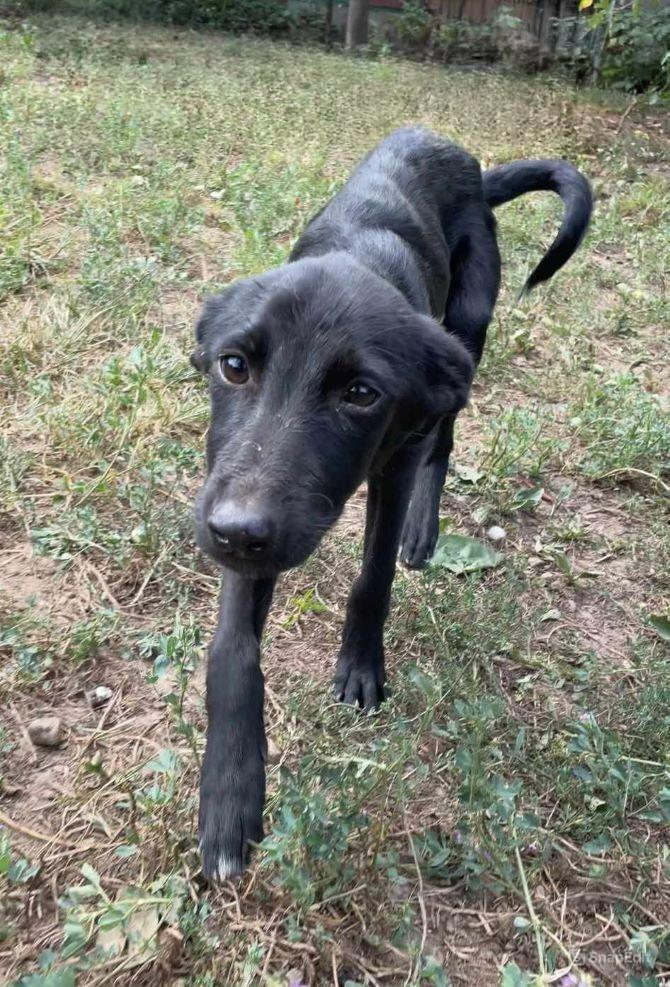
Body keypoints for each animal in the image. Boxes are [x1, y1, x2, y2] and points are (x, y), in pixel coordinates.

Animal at [190, 125, 592, 880]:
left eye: (360, 394)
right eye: (234, 365)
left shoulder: (393, 456)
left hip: (466, 335)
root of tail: (468, 164)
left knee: (445, 438)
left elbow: (371, 579)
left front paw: (360, 666)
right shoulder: (239, 501)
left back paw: (422, 531)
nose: (235, 532)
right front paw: (229, 793)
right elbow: (232, 644)